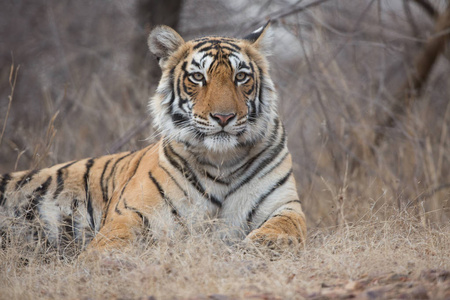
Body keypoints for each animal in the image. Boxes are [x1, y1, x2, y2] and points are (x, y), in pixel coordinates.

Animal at [0, 22, 306, 254]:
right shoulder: (131, 212)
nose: (223, 117)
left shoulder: (284, 204)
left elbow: (285, 225)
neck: (222, 161)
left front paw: (265, 243)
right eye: (198, 77)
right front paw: (104, 259)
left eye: (241, 76)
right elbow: (113, 240)